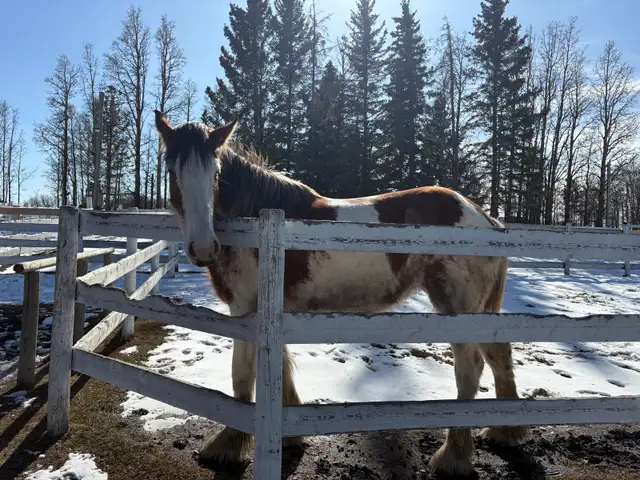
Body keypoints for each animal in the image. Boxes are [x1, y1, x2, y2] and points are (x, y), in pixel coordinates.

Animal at [153, 110, 526, 476]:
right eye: (171, 169)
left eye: (216, 173)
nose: (203, 249)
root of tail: (485, 219)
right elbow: (282, 366)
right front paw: (290, 437)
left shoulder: (245, 309)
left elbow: (242, 376)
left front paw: (227, 447)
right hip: (482, 311)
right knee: (499, 356)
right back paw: (504, 432)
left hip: (458, 308)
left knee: (470, 368)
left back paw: (453, 457)